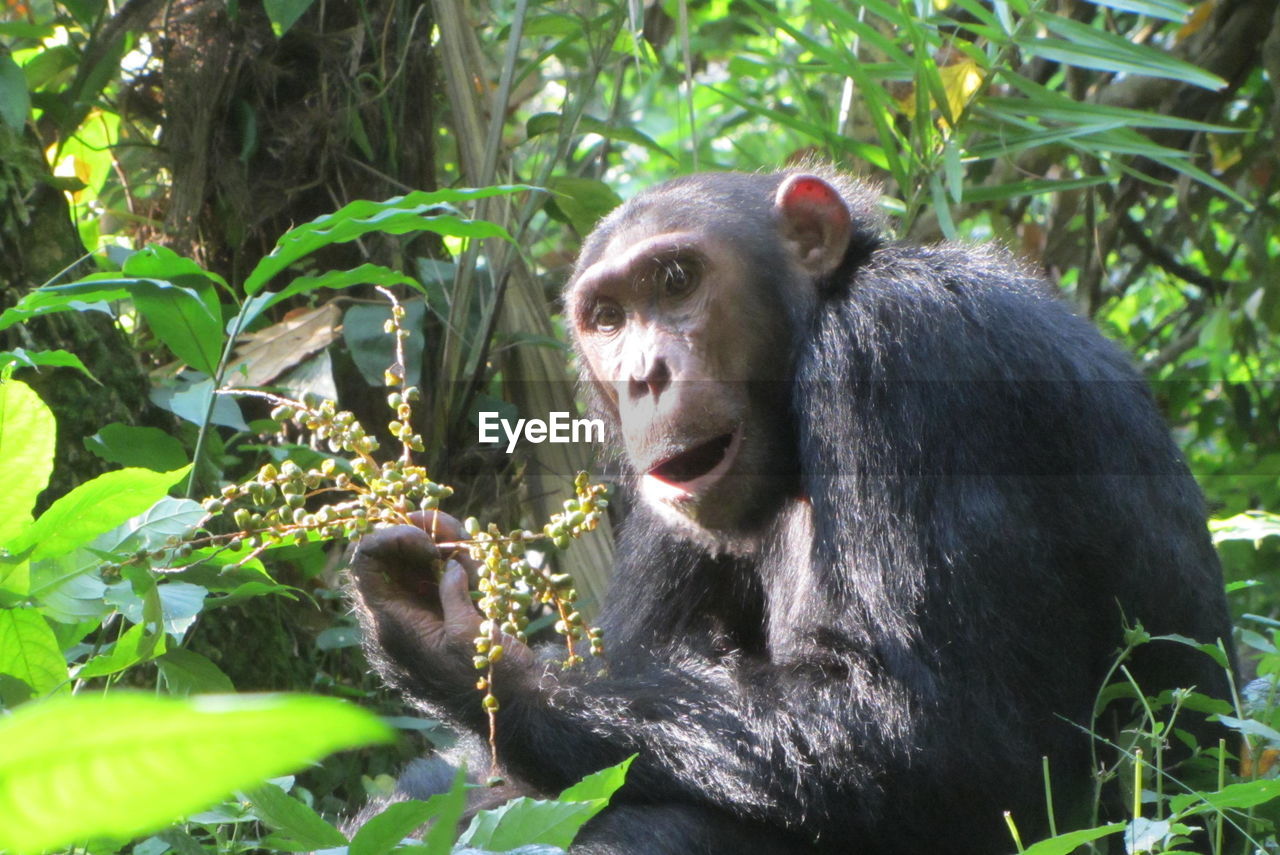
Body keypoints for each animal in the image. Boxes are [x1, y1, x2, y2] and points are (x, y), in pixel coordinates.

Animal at [348, 168, 1228, 855]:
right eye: (607, 317)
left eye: (677, 280)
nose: (642, 372)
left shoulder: (901, 353)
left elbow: (943, 743)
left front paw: (473, 651)